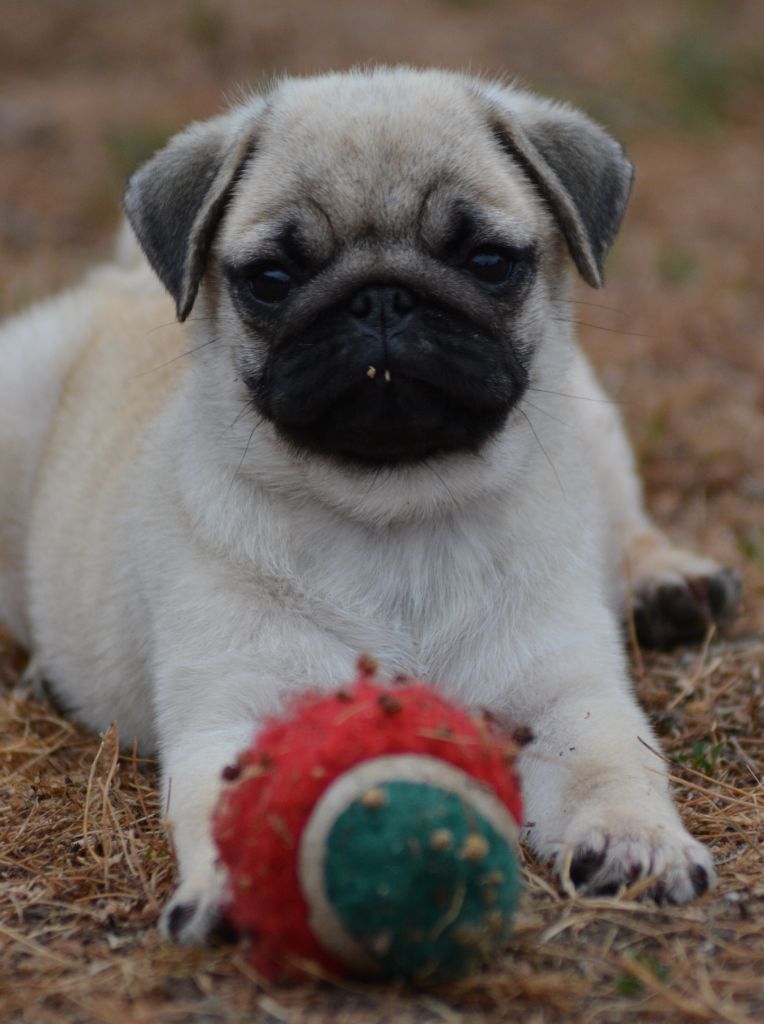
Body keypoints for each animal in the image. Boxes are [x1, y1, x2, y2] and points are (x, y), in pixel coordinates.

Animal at [0, 68, 737, 937]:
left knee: (625, 525)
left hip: (591, 421)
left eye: (489, 262)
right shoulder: (236, 711)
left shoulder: (569, 697)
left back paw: (672, 586)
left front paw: (636, 841)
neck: (398, 513)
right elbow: (235, 799)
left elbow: (613, 766)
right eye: (271, 280)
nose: (382, 297)